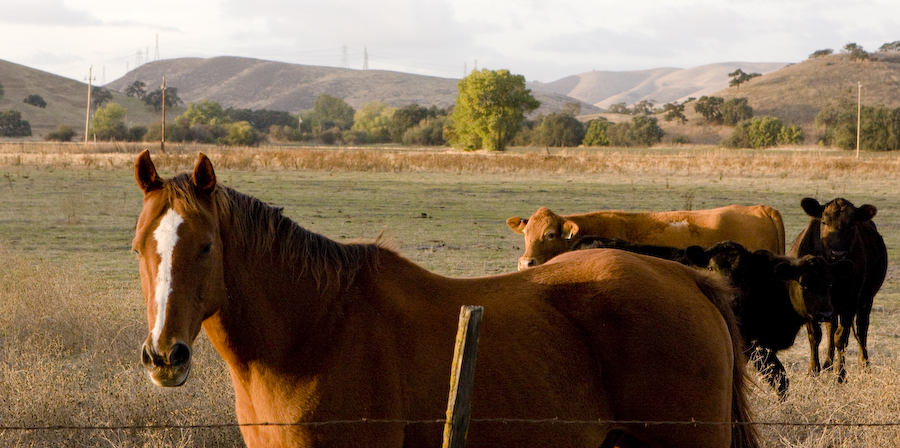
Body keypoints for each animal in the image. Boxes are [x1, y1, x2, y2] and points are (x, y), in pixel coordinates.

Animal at [792, 198, 888, 384]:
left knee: (861, 330)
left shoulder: (850, 302)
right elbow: (815, 335)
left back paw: (864, 364)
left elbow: (841, 338)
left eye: (851, 224)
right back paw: (828, 363)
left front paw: (840, 374)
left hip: (866, 300)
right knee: (831, 326)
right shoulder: (807, 301)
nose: (838, 253)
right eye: (824, 222)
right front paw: (813, 370)